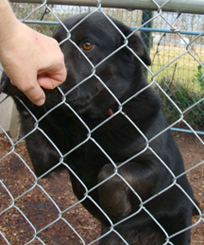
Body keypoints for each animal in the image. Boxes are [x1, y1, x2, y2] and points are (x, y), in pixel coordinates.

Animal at [0, 11, 196, 245]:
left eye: (87, 45)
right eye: (55, 42)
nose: (42, 67)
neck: (92, 122)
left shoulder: (160, 169)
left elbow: (111, 172)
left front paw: (117, 209)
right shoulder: (47, 160)